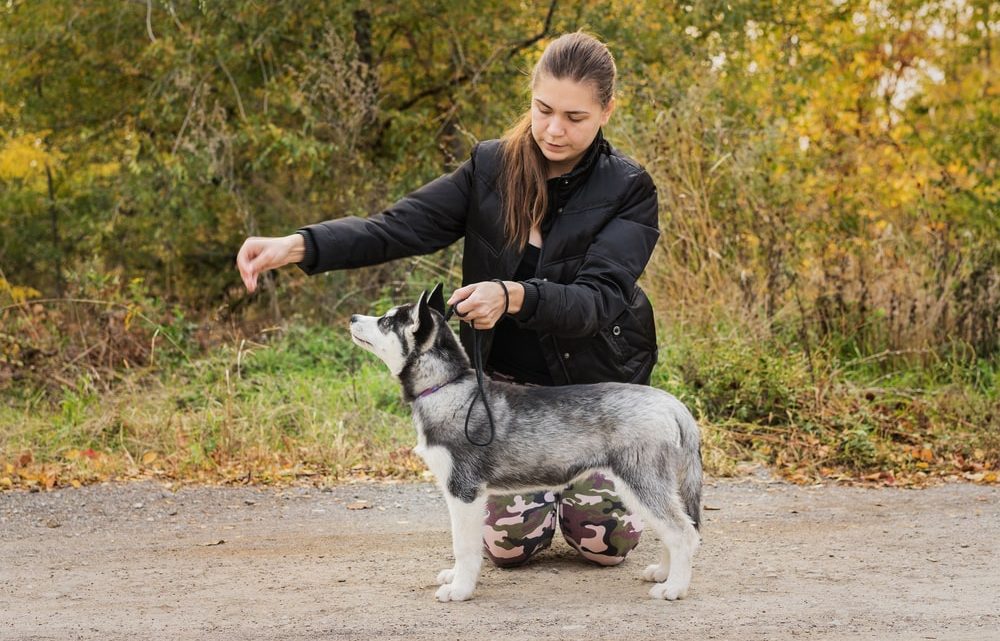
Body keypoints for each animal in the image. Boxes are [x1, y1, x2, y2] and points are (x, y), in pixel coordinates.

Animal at [352, 284, 704, 600]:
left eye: (386, 321)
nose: (353, 317)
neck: (446, 388)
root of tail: (670, 402)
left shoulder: (463, 491)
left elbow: (463, 545)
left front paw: (460, 589)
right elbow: (462, 544)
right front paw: (455, 577)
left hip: (641, 482)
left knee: (683, 532)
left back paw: (674, 588)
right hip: (644, 486)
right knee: (675, 528)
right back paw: (663, 572)